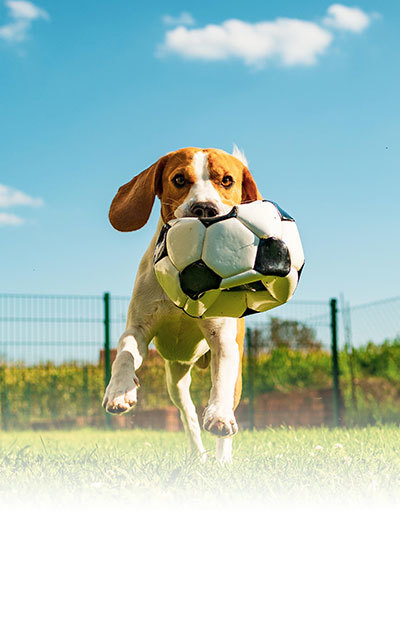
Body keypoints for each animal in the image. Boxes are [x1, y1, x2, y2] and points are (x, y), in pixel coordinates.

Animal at [101, 148, 260, 462]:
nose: (204, 208)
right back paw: (198, 454)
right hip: (175, 380)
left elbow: (221, 380)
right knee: (188, 416)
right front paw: (119, 391)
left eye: (227, 180)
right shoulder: (138, 329)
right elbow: (125, 353)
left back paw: (222, 457)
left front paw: (219, 416)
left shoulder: (223, 339)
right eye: (179, 179)